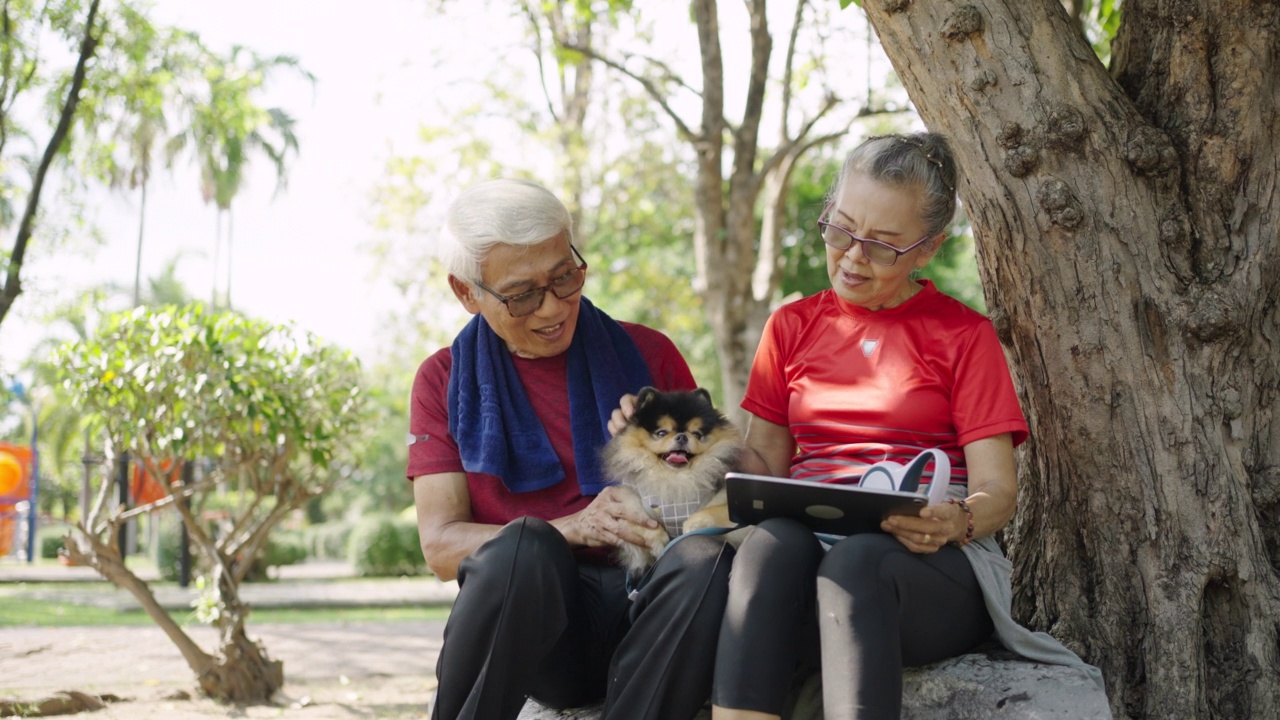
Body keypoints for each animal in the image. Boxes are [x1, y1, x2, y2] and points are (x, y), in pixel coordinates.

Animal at [604, 384, 747, 573]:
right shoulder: (627, 506)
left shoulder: (726, 506)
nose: (682, 436)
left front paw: (689, 526)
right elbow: (639, 521)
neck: (675, 477)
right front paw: (658, 541)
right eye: (661, 433)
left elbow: (711, 512)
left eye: (697, 434)